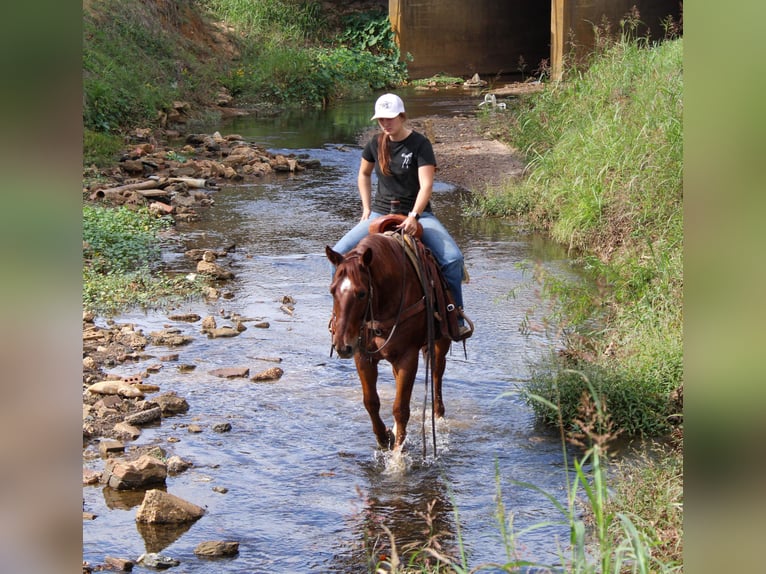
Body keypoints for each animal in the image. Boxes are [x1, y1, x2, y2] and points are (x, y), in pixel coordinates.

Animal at [325, 220, 453, 452]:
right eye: (332, 290)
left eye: (362, 293)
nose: (341, 345)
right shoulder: (362, 356)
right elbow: (371, 402)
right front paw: (385, 438)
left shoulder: (407, 357)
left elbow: (400, 408)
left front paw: (398, 455)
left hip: (441, 342)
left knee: (437, 375)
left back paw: (438, 416)